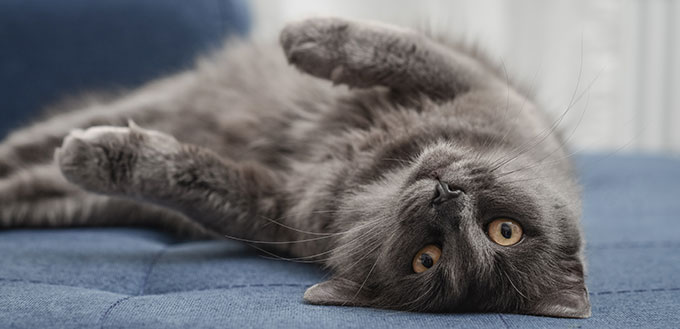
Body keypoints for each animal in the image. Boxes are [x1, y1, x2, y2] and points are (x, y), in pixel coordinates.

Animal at [0, 17, 588, 316]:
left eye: (428, 259)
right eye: (506, 230)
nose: (446, 196)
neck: (378, 172)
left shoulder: (267, 207)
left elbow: (188, 177)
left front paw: (105, 157)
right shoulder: (473, 84)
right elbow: (396, 50)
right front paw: (305, 36)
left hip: (70, 197)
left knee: (38, 174)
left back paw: (75, 155)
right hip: (163, 98)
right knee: (32, 139)